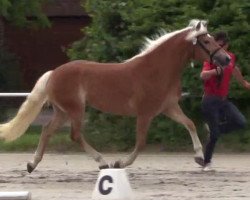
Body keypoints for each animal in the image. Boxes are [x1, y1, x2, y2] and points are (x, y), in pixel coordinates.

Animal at [0, 19, 230, 173]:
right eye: (206, 42)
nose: (226, 59)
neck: (157, 70)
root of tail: (54, 73)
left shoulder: (168, 107)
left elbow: (190, 124)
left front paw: (199, 157)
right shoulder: (145, 114)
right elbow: (141, 142)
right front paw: (120, 163)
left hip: (62, 111)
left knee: (47, 130)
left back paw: (32, 164)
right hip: (75, 109)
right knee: (74, 135)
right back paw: (103, 162)